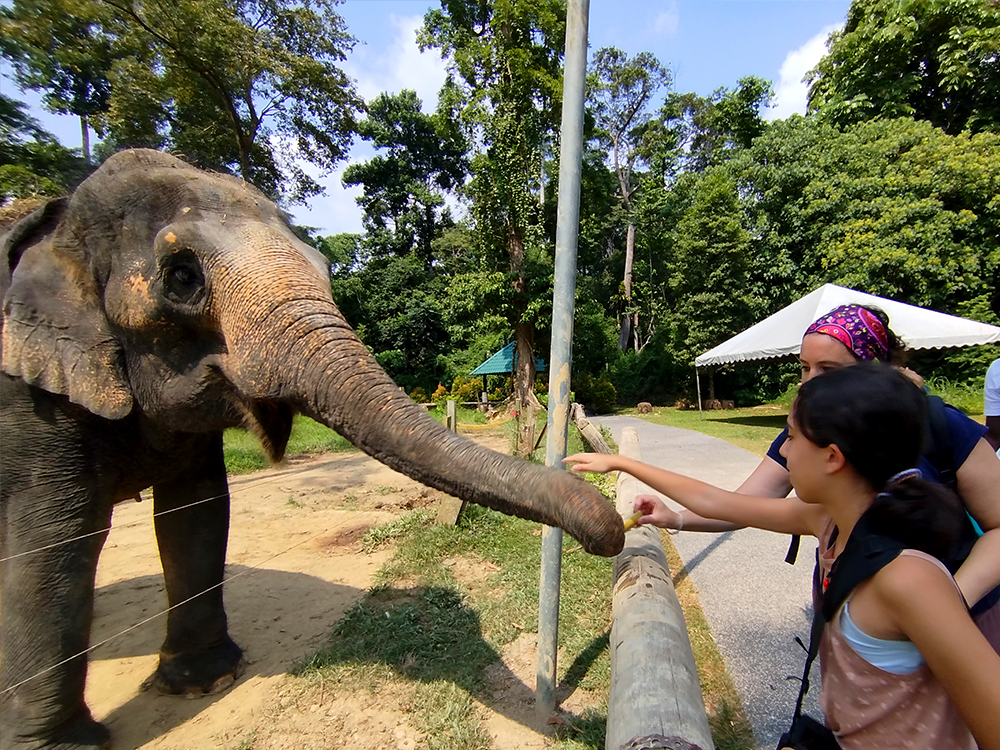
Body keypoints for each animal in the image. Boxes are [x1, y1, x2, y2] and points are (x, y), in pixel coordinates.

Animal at [0, 151, 624, 750]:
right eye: (180, 277)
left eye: (324, 266)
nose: (609, 533)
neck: (61, 224)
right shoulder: (25, 398)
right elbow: (54, 540)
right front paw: (66, 746)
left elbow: (197, 510)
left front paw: (205, 682)